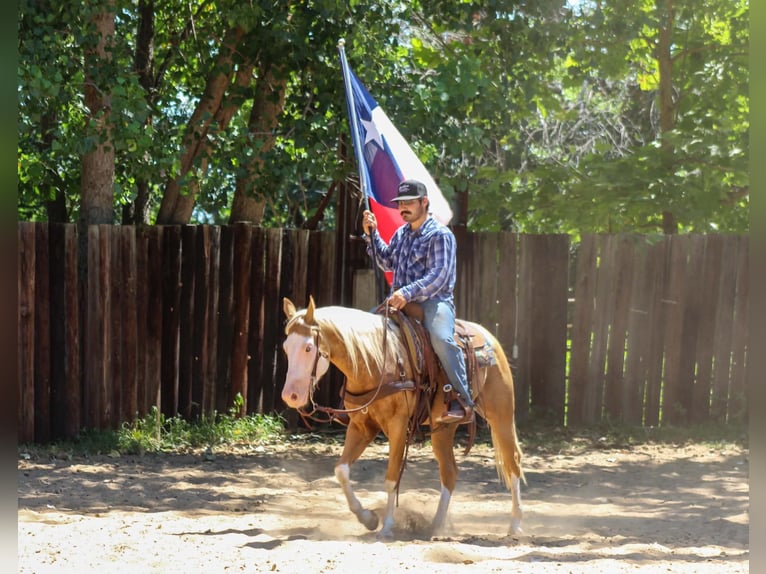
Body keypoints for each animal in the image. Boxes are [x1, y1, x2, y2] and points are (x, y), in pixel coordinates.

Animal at [281, 296, 524, 539]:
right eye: (285, 348)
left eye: (308, 347)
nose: (290, 396)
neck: (377, 361)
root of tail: (488, 336)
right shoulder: (361, 426)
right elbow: (341, 471)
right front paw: (368, 518)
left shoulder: (397, 425)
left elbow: (391, 478)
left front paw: (387, 525)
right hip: (444, 428)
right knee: (449, 472)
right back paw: (435, 525)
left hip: (501, 415)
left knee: (512, 463)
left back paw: (514, 525)